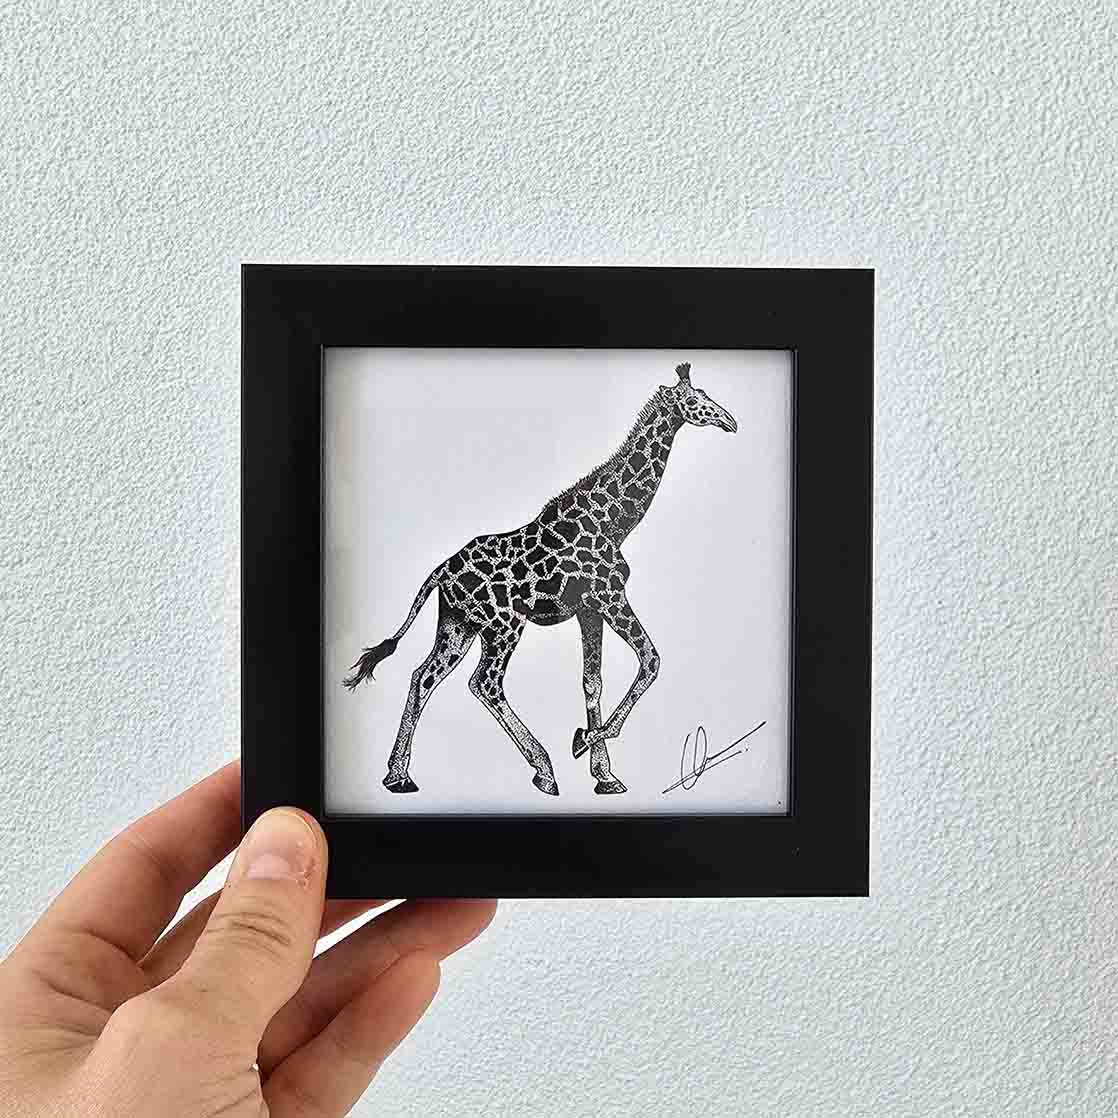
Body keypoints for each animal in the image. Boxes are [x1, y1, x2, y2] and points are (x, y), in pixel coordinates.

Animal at [343, 362, 738, 796]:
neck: (616, 522)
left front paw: (605, 775)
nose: (730, 421)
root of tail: (439, 573)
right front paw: (585, 742)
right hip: (503, 626)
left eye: (706, 394)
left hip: (459, 625)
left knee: (423, 677)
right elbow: (650, 660)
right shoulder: (610, 597)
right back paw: (544, 771)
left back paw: (398, 776)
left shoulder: (589, 609)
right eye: (695, 399)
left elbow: (592, 681)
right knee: (485, 683)